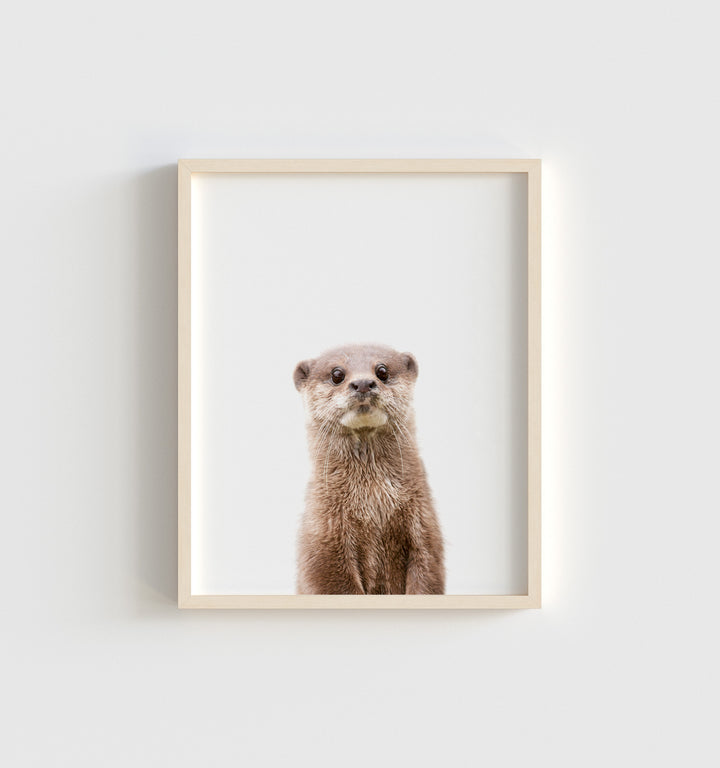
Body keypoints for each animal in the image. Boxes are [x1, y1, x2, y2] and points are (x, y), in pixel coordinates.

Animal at [293, 343, 445, 595]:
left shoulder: (425, 526)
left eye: (382, 371)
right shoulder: (322, 537)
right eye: (337, 374)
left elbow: (427, 575)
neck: (373, 504)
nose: (363, 383)